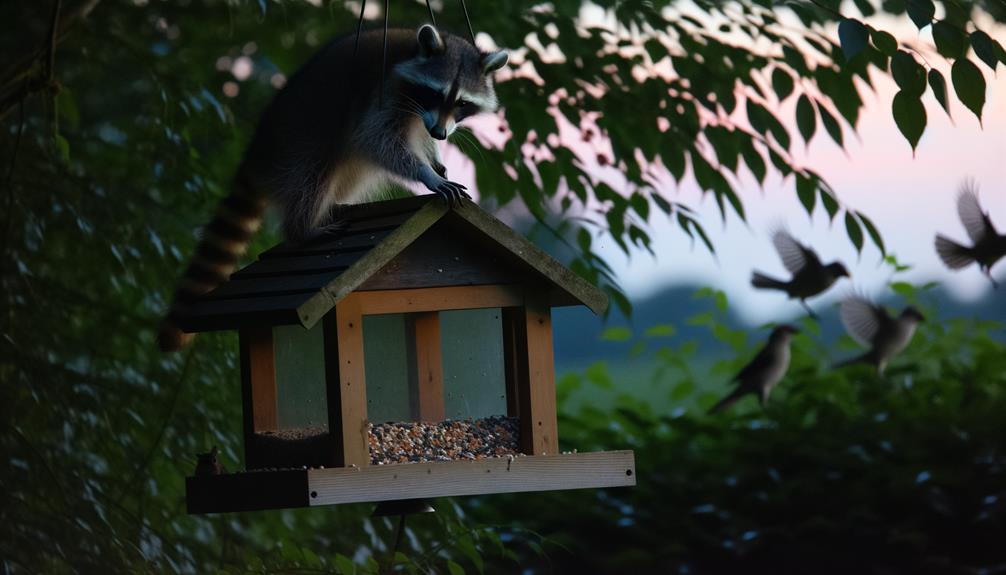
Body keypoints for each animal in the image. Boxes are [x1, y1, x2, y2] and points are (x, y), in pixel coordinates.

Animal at [161, 25, 511, 349]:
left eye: (463, 102)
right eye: (436, 94)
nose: (440, 133)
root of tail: (257, 150)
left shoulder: (418, 116)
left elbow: (412, 138)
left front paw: (436, 159)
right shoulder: (383, 92)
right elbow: (378, 140)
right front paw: (427, 174)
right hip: (297, 136)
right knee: (314, 173)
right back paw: (302, 230)